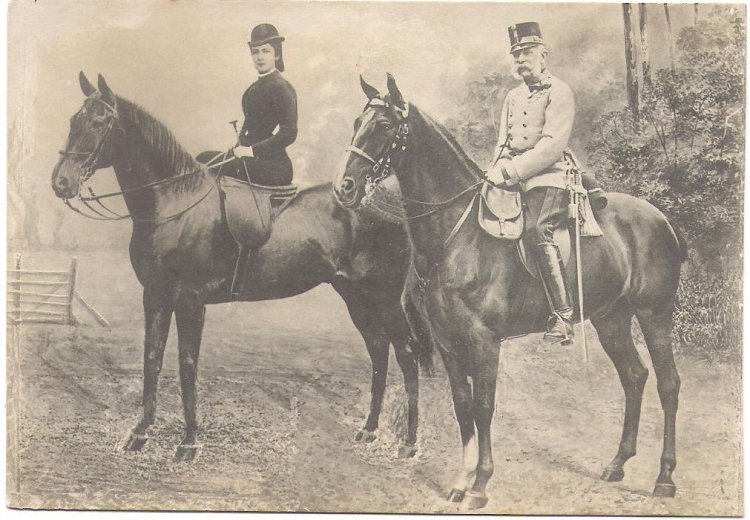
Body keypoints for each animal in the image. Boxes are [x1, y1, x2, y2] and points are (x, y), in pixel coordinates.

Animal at [51, 72, 432, 461]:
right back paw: (368, 430)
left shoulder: (190, 300)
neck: (174, 203)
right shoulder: (154, 296)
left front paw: (189, 442)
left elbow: (187, 364)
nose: (61, 182)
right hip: (355, 295)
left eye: (99, 122)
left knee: (406, 354)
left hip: (385, 298)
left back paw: (409, 442)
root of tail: (388, 202)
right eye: (74, 120)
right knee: (378, 349)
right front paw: (140, 432)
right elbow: (152, 358)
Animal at [333, 74, 687, 509]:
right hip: (611, 319)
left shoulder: (484, 341)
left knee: (668, 384)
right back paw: (617, 464)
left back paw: (665, 477)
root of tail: (661, 218)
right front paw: (461, 479)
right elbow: (462, 405)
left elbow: (484, 406)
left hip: (655, 314)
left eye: (383, 126)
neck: (456, 235)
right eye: (356, 123)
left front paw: (480, 484)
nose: (344, 186)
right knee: (634, 376)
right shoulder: (448, 342)